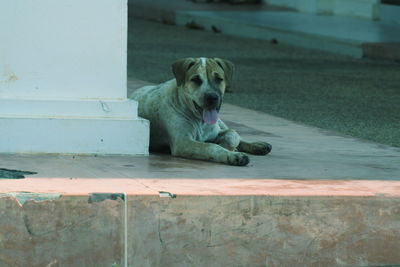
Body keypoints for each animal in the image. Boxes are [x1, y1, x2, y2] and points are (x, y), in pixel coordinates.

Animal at [131, 57, 272, 166]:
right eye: (196, 80)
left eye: (219, 79)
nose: (212, 98)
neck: (200, 120)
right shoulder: (184, 142)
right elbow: (211, 146)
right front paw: (232, 154)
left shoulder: (215, 131)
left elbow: (232, 134)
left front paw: (231, 147)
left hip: (220, 121)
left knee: (236, 134)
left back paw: (258, 145)